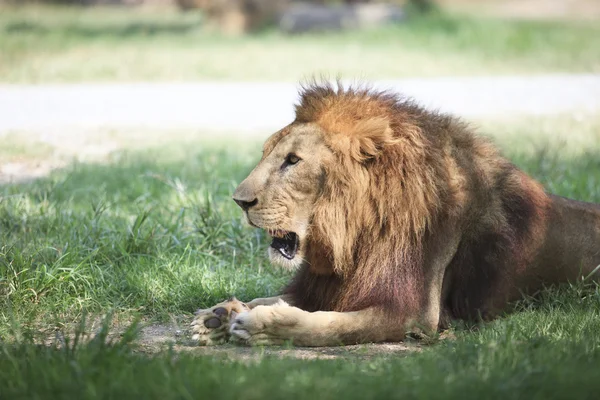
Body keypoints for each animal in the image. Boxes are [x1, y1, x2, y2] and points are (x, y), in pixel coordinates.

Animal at [191, 82, 600, 346]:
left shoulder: (413, 314)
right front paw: (219, 314)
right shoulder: (326, 285)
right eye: (267, 154)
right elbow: (268, 296)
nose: (239, 201)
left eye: (293, 161)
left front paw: (260, 325)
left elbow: (329, 326)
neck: (354, 234)